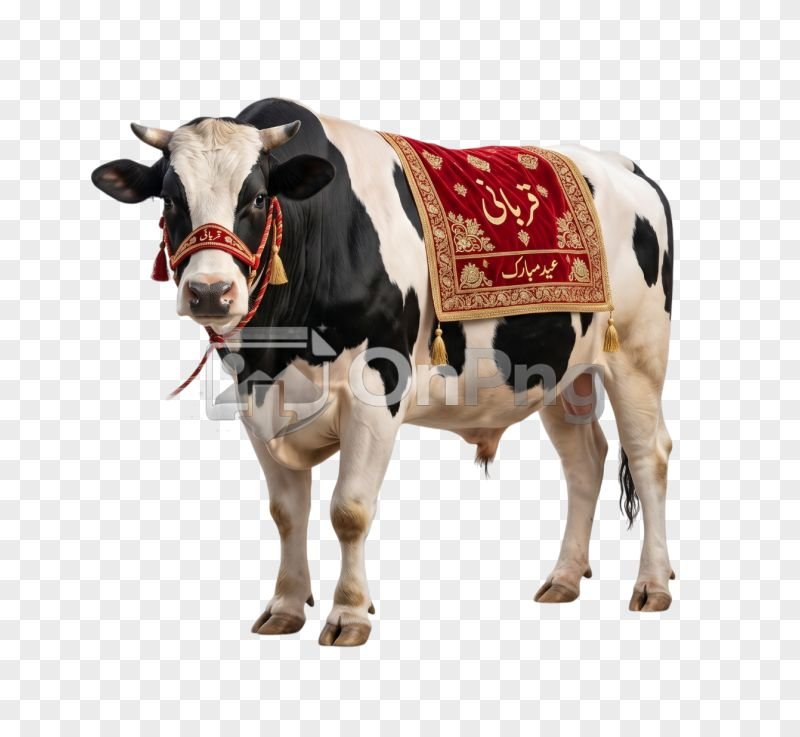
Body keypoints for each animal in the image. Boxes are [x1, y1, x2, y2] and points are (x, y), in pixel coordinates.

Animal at [92, 98, 675, 646]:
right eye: (171, 199)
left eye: (257, 197)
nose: (210, 292)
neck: (277, 344)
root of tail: (623, 164)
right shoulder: (255, 400)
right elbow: (286, 513)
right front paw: (285, 607)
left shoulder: (376, 392)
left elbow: (348, 510)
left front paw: (348, 613)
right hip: (561, 372)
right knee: (585, 462)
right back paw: (564, 578)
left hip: (637, 355)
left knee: (649, 455)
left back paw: (652, 584)